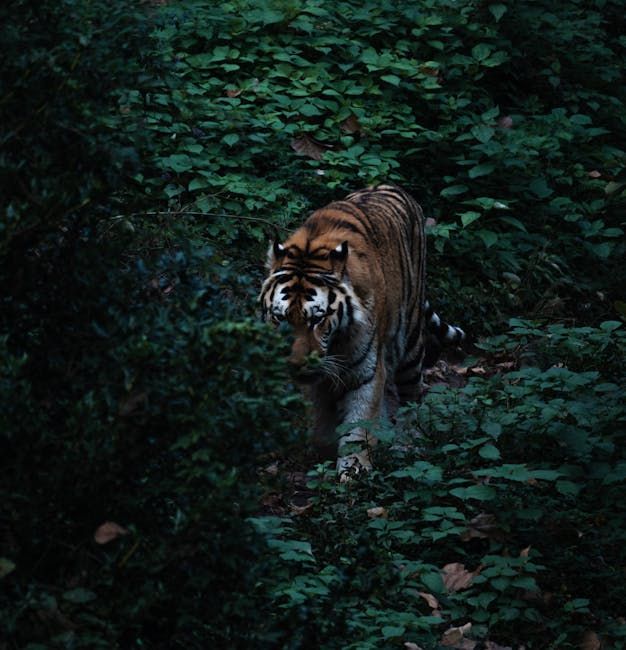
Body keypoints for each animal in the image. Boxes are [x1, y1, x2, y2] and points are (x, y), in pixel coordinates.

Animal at [259, 185, 465, 477]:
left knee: (412, 395)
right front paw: (325, 454)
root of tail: (392, 186)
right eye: (280, 318)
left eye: (317, 319)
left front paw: (354, 470)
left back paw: (406, 443)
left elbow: (359, 424)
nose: (297, 365)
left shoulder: (366, 372)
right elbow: (321, 421)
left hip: (410, 343)